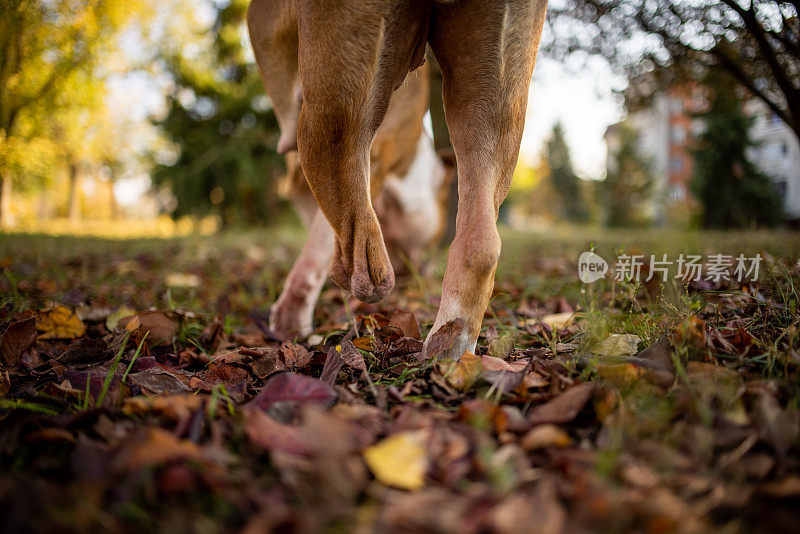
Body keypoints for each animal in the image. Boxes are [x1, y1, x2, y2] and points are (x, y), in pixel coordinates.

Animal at [248, 0, 552, 360]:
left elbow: (320, 235)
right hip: (491, 87)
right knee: (481, 241)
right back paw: (448, 345)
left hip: (340, 80)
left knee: (353, 228)